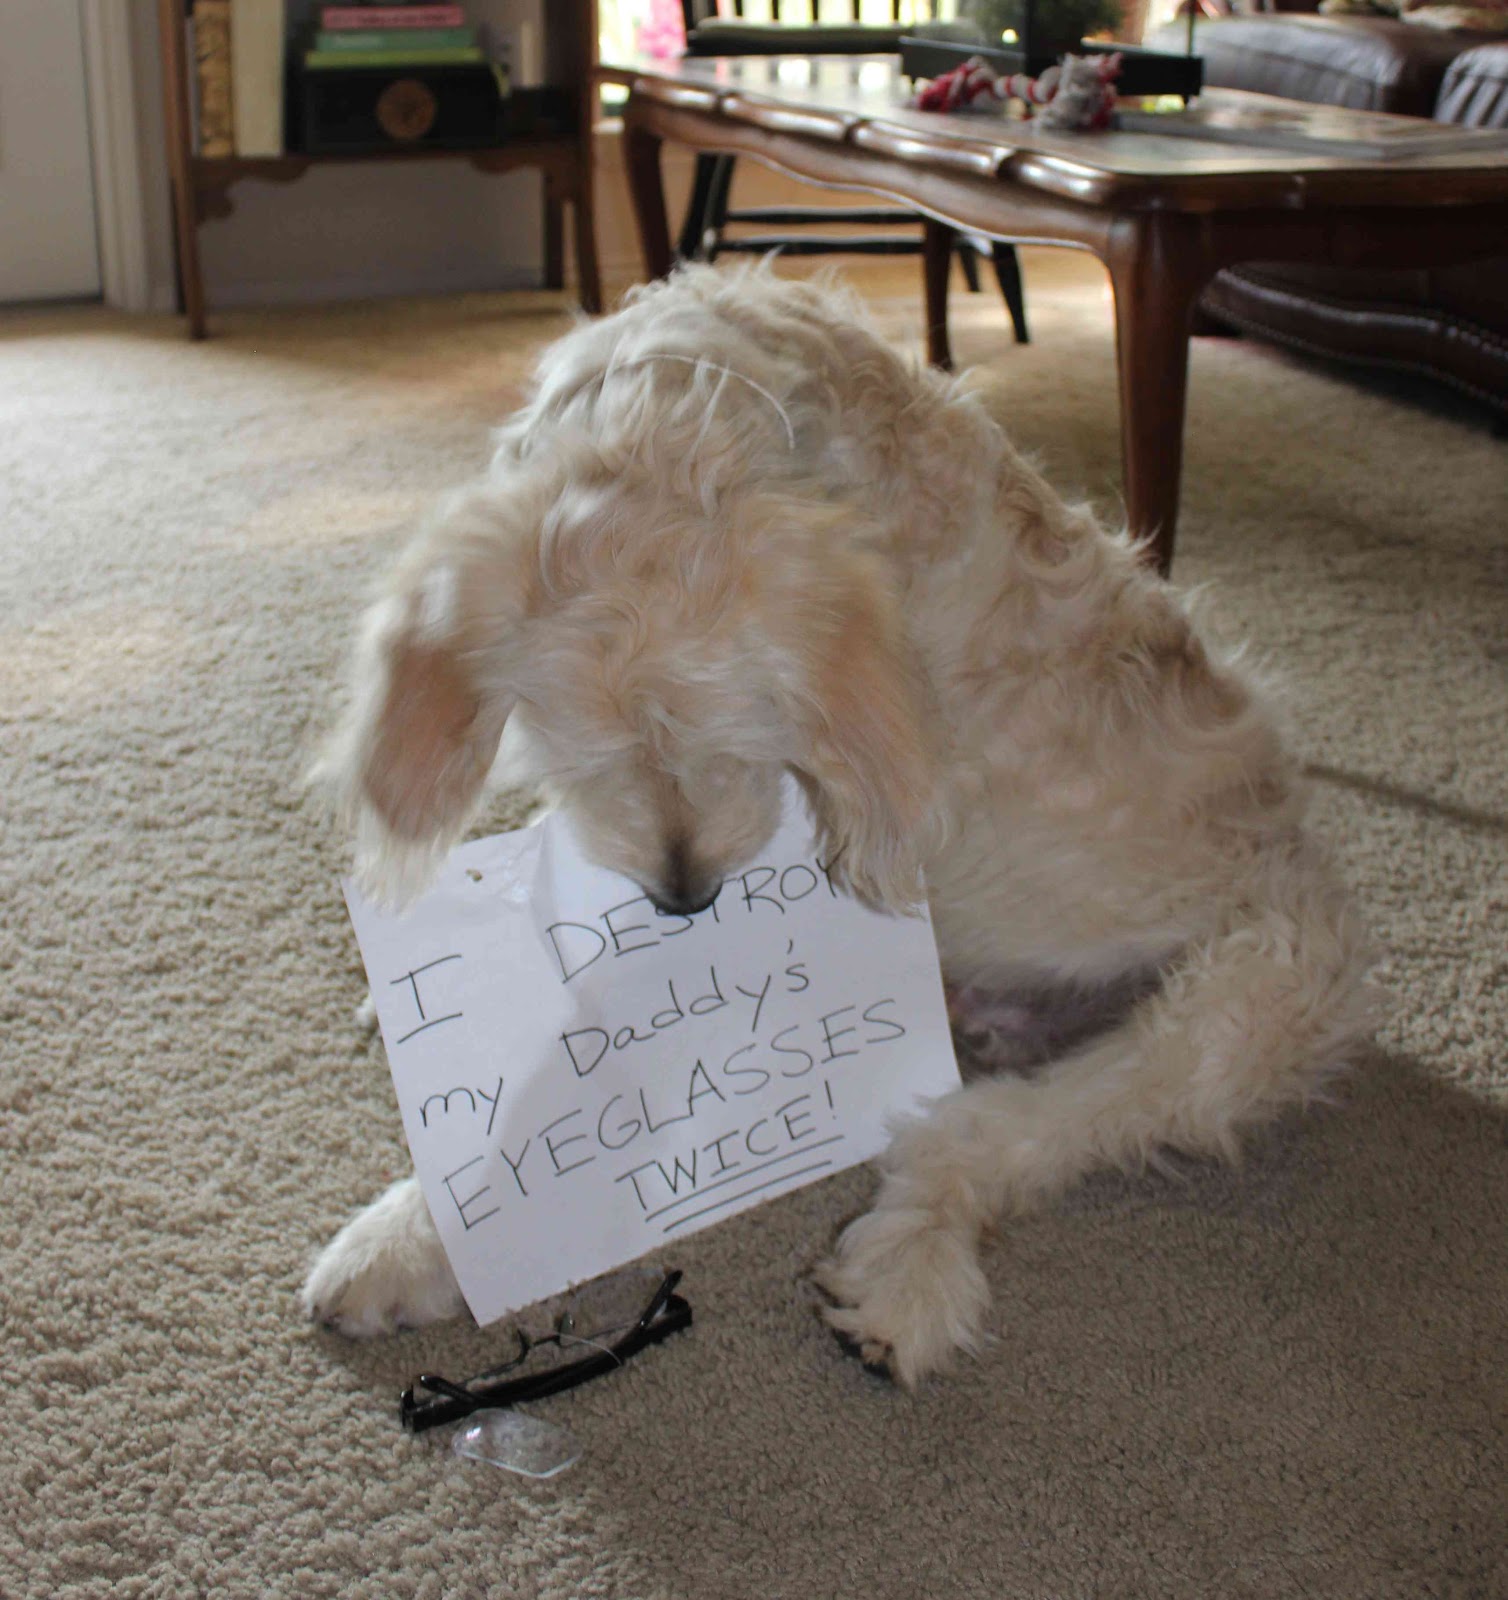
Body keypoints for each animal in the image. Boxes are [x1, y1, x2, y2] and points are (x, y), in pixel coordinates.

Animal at [300, 262, 1374, 1385]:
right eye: (590, 757)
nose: (685, 899)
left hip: (1248, 1005)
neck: (684, 404)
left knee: (980, 1135)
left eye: (746, 737)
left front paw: (417, 1235)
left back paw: (904, 1278)